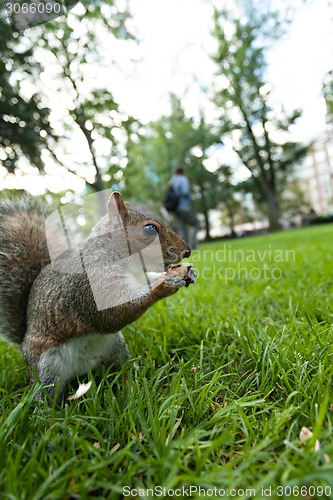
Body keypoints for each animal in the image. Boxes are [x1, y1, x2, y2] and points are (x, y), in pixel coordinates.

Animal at [0, 191, 196, 402]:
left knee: (121, 368)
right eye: (150, 228)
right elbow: (113, 313)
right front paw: (165, 284)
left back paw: (131, 380)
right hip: (46, 370)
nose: (187, 251)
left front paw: (187, 272)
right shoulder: (91, 287)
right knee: (43, 394)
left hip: (116, 348)